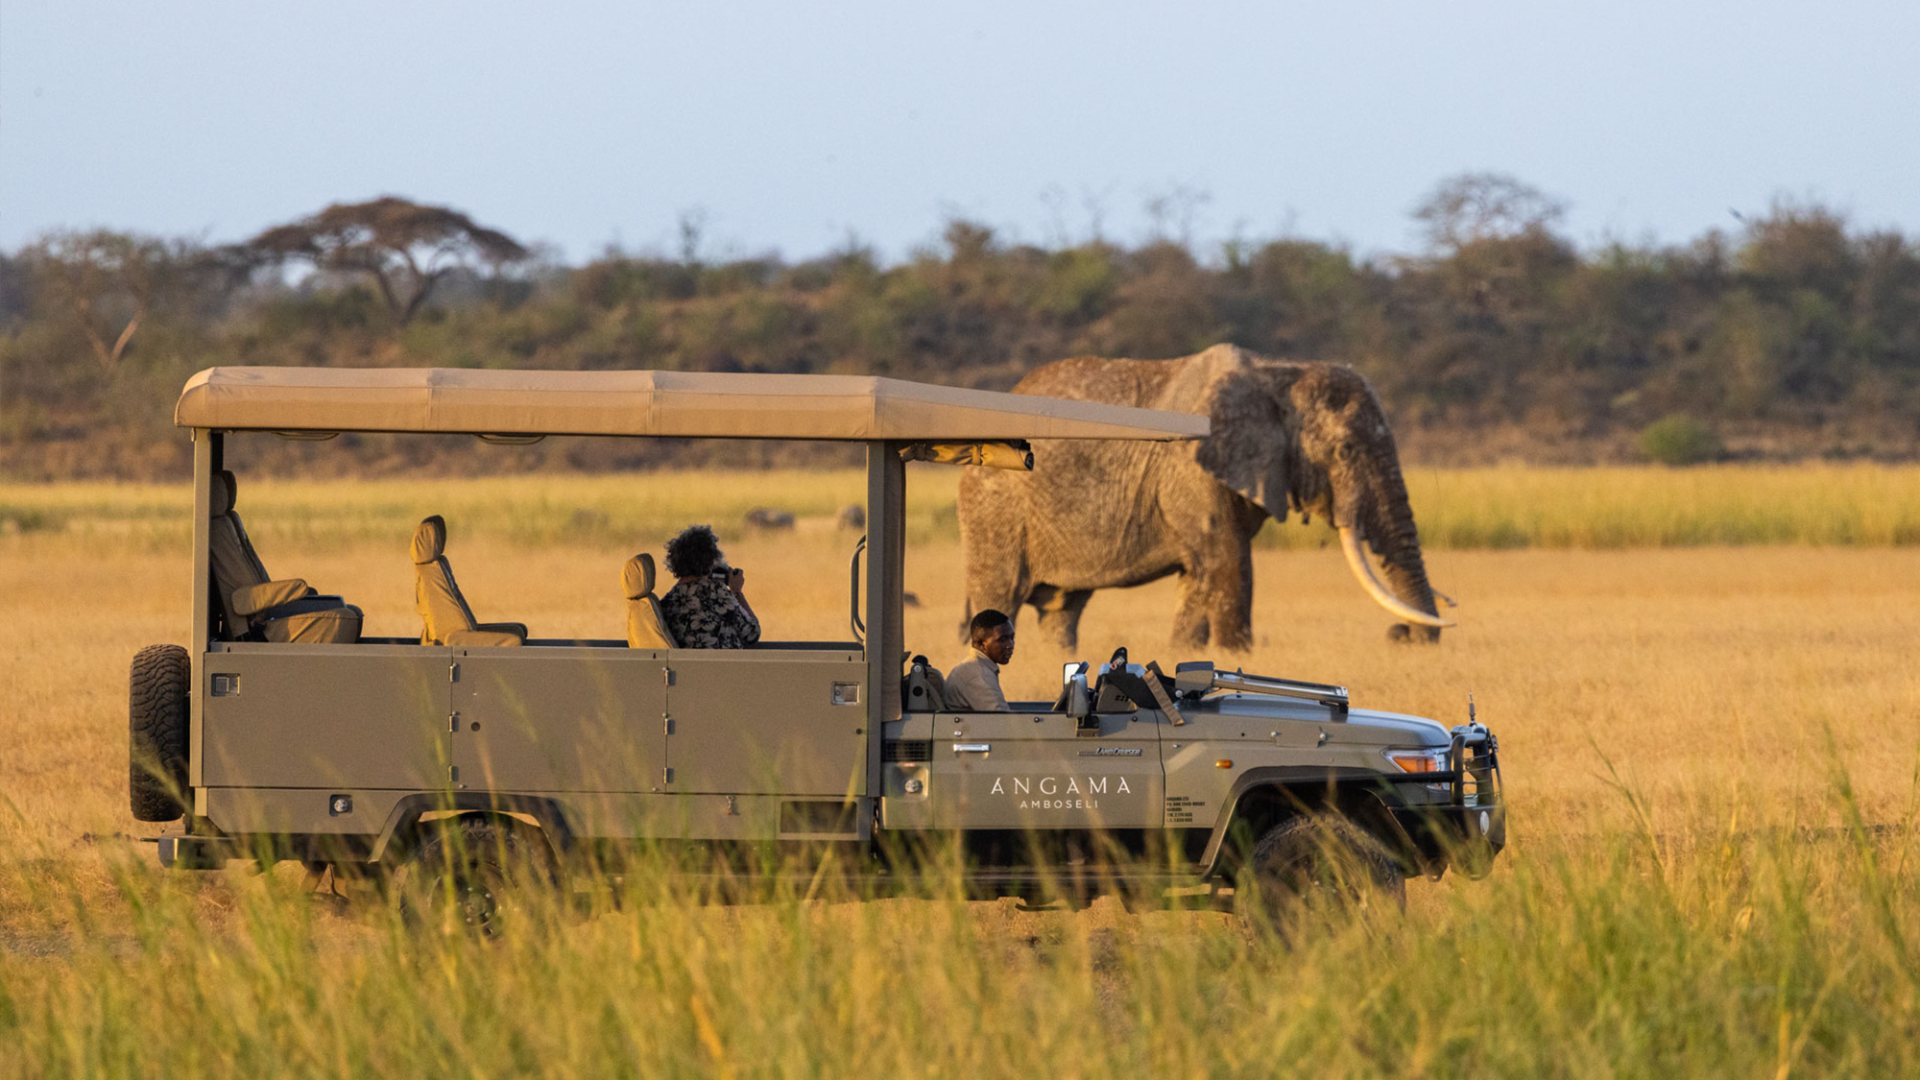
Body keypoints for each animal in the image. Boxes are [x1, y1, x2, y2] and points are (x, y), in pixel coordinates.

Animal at [957, 344, 1453, 651]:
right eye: (1346, 450)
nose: (1399, 635)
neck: (1280, 372)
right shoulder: (1191, 469)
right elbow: (1228, 563)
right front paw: (1238, 655)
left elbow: (1201, 574)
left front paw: (1184, 656)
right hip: (994, 506)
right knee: (1001, 594)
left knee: (1063, 609)